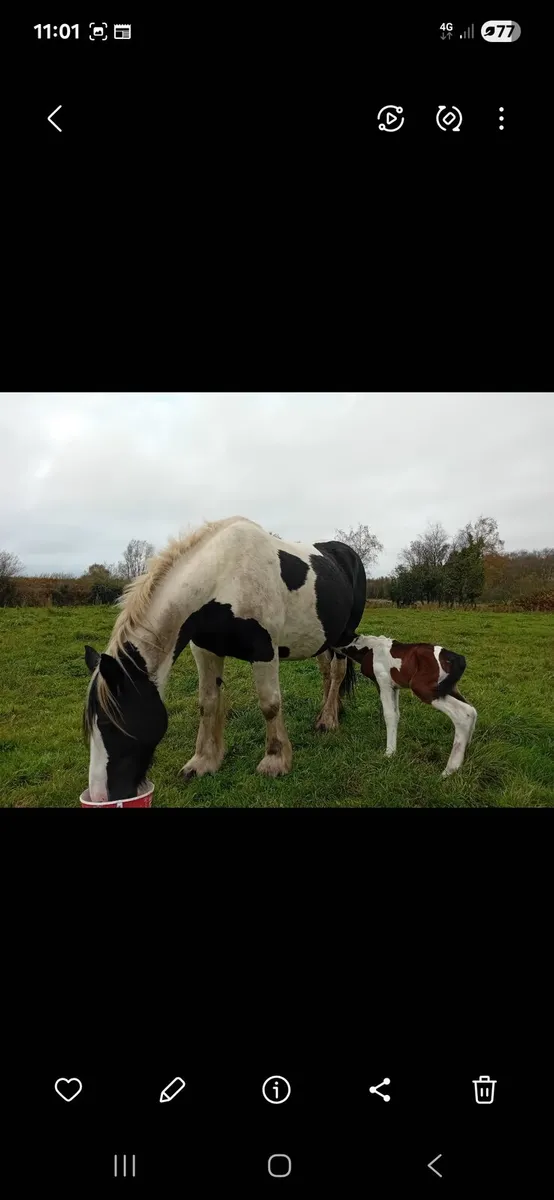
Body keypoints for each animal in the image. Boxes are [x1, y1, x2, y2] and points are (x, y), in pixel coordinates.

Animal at [83, 516, 366, 802]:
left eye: (111, 725)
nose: (100, 796)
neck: (224, 577)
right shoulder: (205, 650)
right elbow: (207, 703)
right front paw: (203, 762)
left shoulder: (264, 651)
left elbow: (270, 704)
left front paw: (275, 761)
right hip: (323, 638)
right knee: (326, 672)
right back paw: (330, 712)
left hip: (344, 634)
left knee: (338, 672)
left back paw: (328, 720)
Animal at [343, 634, 477, 777]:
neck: (369, 648)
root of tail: (453, 657)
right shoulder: (395, 686)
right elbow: (396, 713)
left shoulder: (383, 682)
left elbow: (389, 715)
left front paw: (389, 753)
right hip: (449, 688)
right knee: (472, 710)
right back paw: (466, 749)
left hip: (423, 687)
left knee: (465, 713)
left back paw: (450, 770)